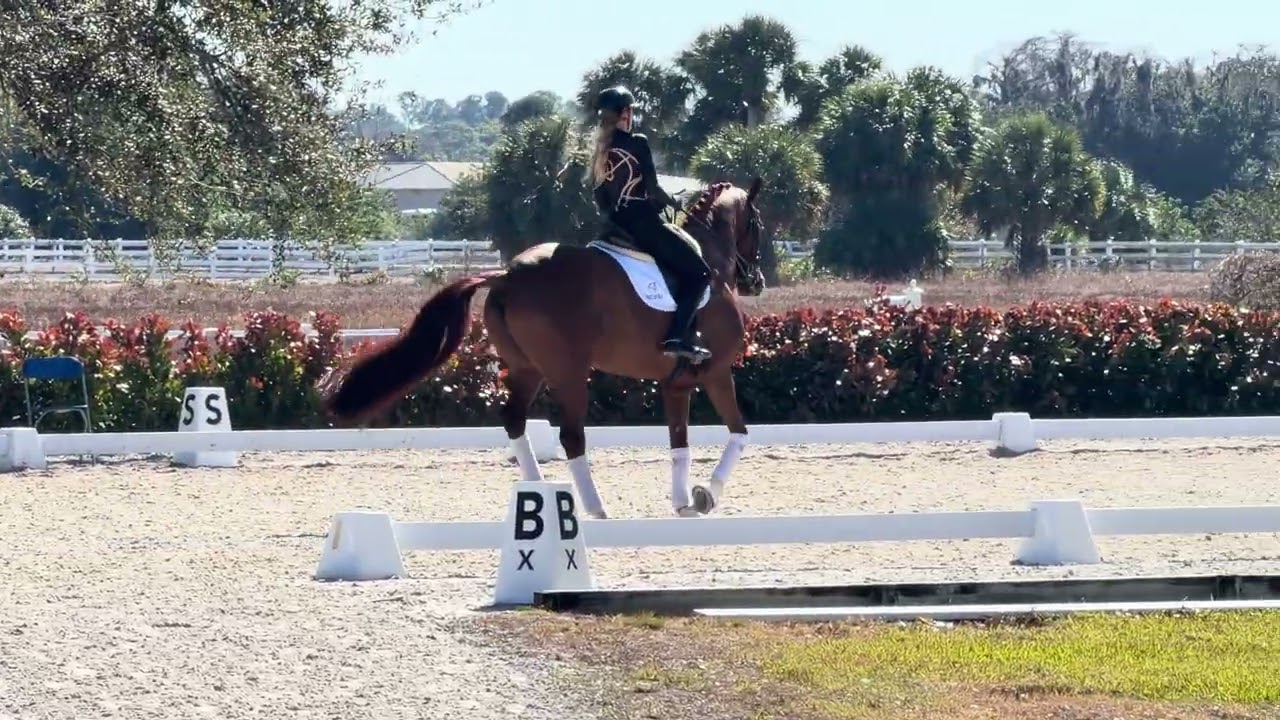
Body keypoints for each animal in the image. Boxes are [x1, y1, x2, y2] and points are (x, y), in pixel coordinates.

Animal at [321, 177, 766, 519]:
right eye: (757, 223)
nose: (756, 281)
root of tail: (508, 274)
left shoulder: (676, 383)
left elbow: (679, 444)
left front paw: (683, 503)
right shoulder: (716, 373)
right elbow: (739, 433)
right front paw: (707, 496)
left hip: (526, 369)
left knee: (514, 421)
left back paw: (538, 496)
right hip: (569, 373)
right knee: (571, 436)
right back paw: (595, 509)